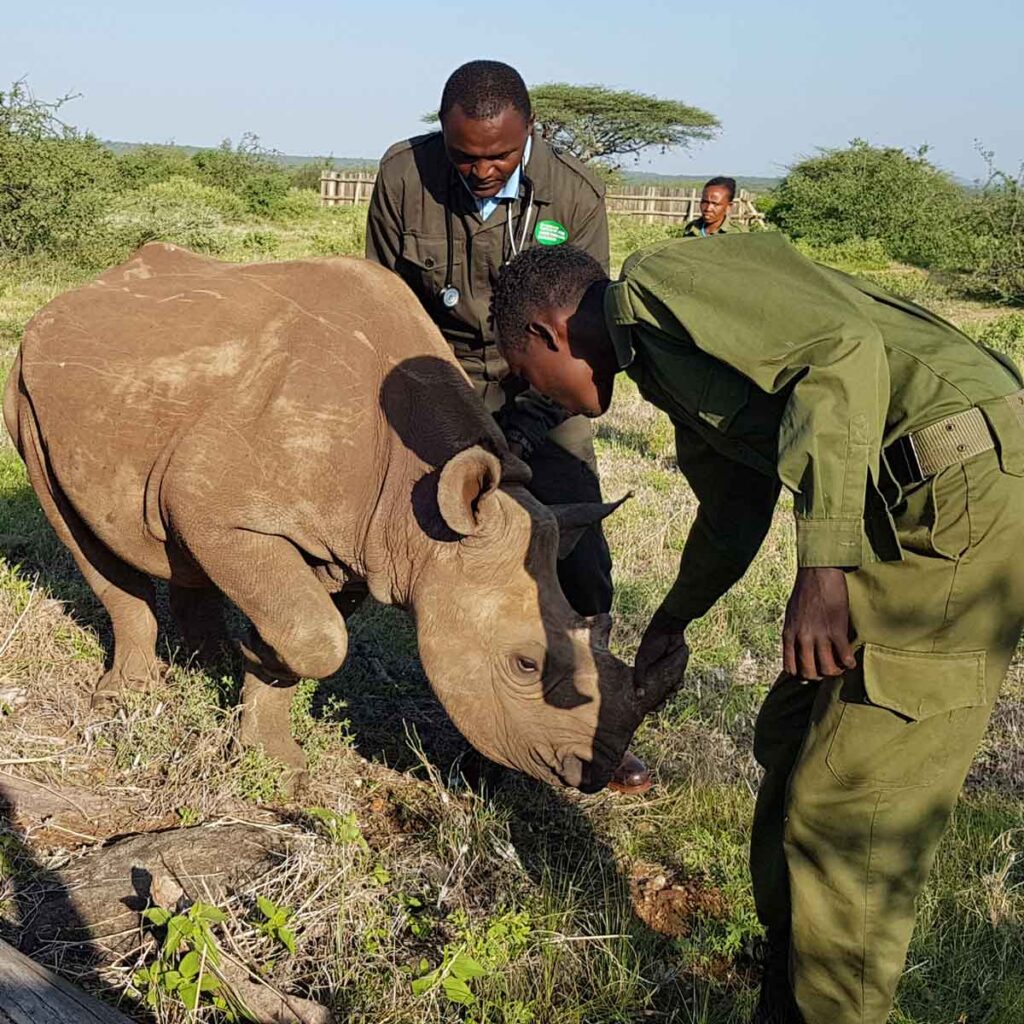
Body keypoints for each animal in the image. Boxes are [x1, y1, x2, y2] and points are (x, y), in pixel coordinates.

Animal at [6, 241, 671, 790]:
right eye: (525, 664)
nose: (611, 773)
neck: (426, 509)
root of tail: (78, 292)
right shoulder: (216, 507)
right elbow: (319, 638)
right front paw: (254, 670)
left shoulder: (366, 550)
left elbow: (308, 633)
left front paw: (267, 736)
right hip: (26, 388)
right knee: (82, 535)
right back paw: (127, 698)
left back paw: (205, 664)